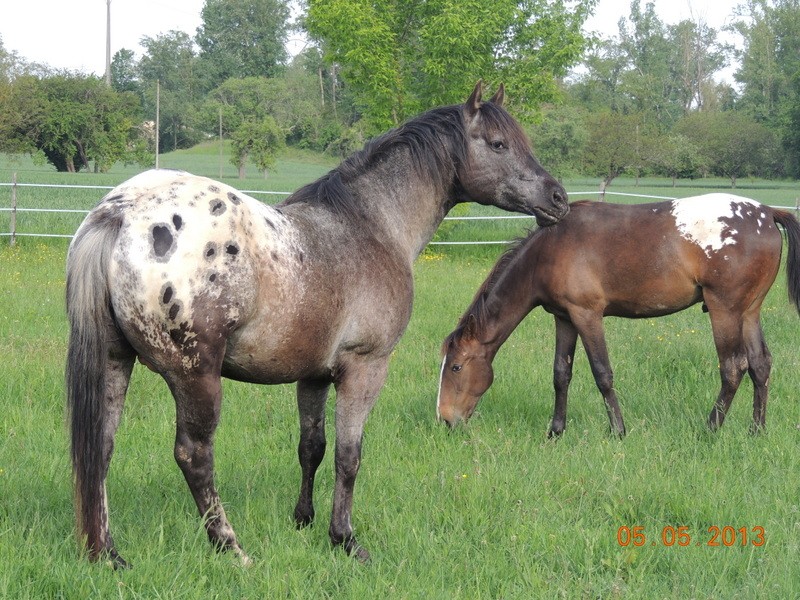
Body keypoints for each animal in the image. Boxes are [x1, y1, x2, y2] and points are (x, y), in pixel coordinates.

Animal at [67, 83, 568, 568]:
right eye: (499, 144)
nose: (559, 198)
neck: (371, 225)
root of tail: (123, 211)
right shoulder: (365, 368)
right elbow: (349, 456)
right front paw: (344, 538)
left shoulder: (312, 376)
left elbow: (312, 447)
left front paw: (303, 520)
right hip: (196, 377)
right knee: (194, 456)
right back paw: (231, 548)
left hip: (115, 361)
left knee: (100, 448)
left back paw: (109, 554)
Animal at [438, 197, 800, 436]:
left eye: (456, 367)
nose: (445, 419)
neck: (550, 248)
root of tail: (767, 213)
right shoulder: (564, 318)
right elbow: (560, 375)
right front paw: (556, 431)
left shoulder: (587, 315)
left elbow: (602, 373)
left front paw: (618, 431)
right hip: (748, 312)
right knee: (760, 365)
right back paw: (756, 431)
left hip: (725, 311)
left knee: (733, 368)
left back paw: (709, 430)